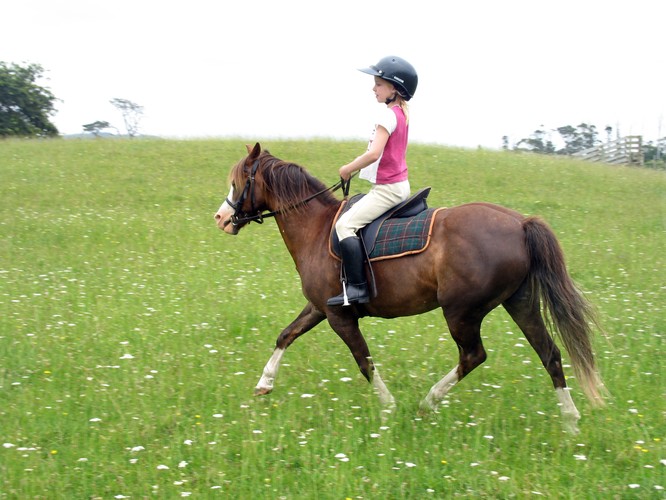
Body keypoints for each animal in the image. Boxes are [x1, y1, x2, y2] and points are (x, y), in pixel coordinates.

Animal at [214, 143, 605, 433]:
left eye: (238, 181)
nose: (221, 218)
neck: (317, 227)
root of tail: (520, 223)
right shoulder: (320, 308)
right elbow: (286, 334)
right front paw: (264, 383)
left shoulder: (340, 316)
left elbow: (364, 361)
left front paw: (388, 407)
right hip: (519, 303)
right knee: (549, 353)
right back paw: (571, 423)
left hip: (461, 312)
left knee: (473, 355)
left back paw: (427, 403)